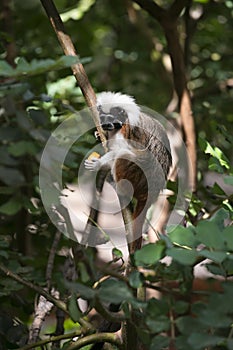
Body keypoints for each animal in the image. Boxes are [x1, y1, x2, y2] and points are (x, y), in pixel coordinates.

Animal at [84, 91, 172, 253]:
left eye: (111, 118)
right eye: (103, 117)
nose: (105, 124)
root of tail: (151, 192)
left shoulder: (128, 129)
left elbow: (130, 151)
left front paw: (99, 163)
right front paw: (99, 135)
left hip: (139, 177)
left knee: (124, 156)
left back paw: (119, 187)